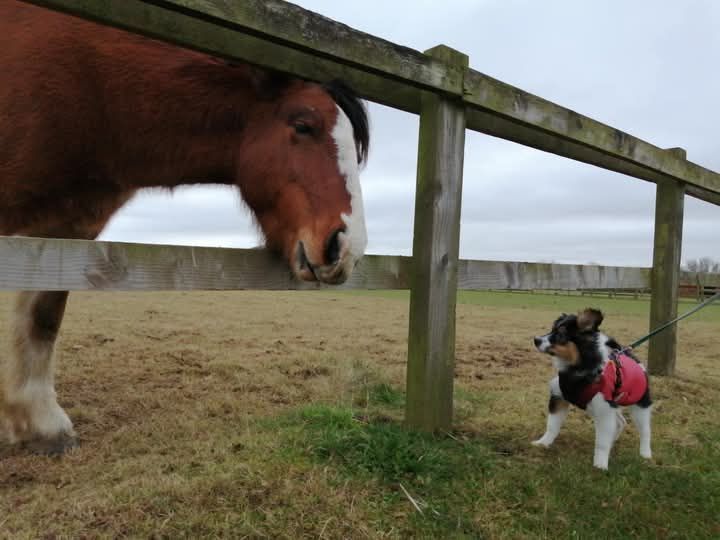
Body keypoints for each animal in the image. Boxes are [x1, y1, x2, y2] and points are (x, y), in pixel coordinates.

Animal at [0, 2, 368, 454]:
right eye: (303, 125)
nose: (345, 247)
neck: (94, 88)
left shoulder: (69, 227)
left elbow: (43, 315)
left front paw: (40, 424)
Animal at [528, 308, 652, 468]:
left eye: (561, 335)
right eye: (552, 330)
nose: (536, 339)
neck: (577, 370)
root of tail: (633, 358)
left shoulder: (604, 408)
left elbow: (602, 441)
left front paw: (600, 464)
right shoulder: (559, 397)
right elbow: (552, 425)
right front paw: (543, 443)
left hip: (640, 405)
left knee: (645, 430)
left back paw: (645, 453)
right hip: (599, 406)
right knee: (619, 422)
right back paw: (614, 441)